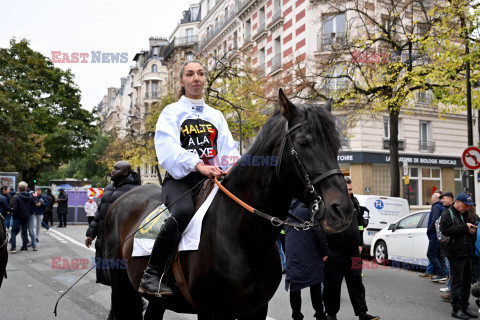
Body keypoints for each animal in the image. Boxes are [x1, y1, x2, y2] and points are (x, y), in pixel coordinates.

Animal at [104, 90, 352, 320]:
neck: (244, 238)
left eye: (337, 144)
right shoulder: (210, 311)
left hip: (157, 301)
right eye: (304, 143)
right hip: (122, 288)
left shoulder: (257, 310)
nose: (343, 210)